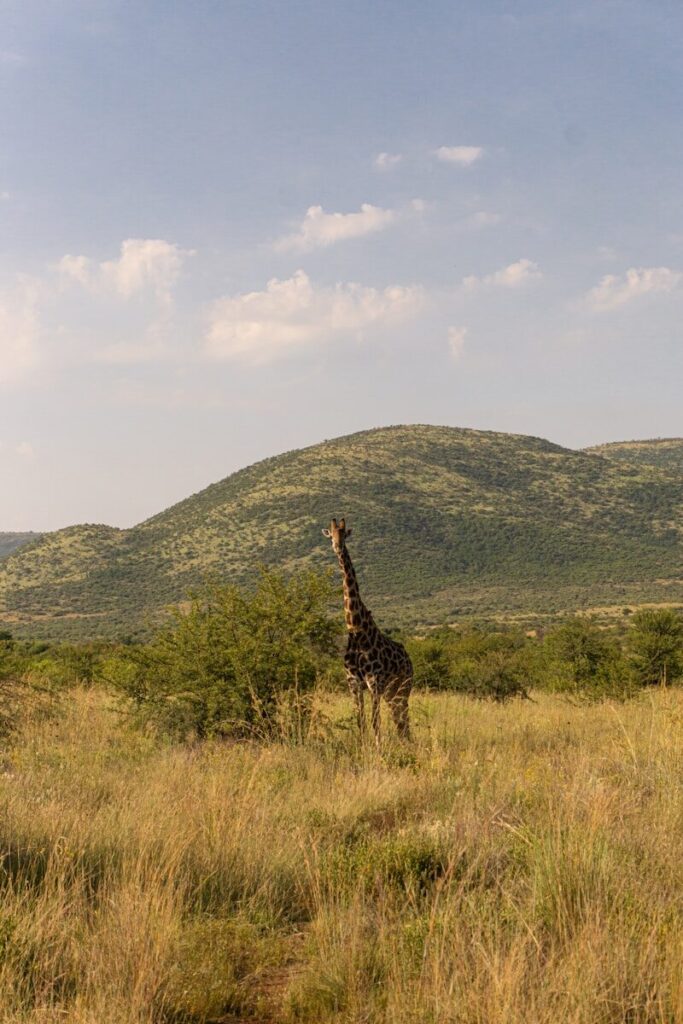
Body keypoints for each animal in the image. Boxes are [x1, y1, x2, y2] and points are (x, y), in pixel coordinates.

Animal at [322, 517, 412, 746]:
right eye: (331, 534)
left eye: (344, 534)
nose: (337, 546)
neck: (356, 629)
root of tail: (409, 659)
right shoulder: (353, 684)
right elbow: (360, 721)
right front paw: (363, 747)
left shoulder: (374, 683)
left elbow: (375, 721)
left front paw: (378, 748)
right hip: (391, 692)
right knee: (400, 719)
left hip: (403, 687)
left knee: (403, 718)